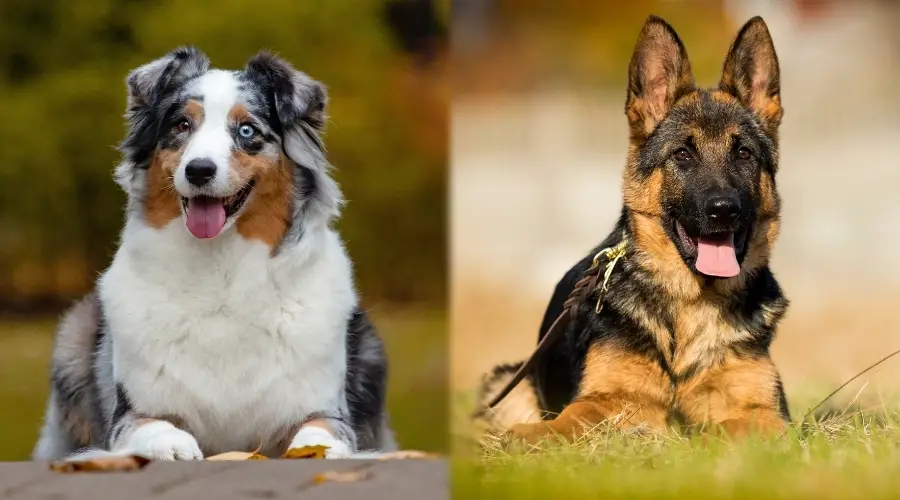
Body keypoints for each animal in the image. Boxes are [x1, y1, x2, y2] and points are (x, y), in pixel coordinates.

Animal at [478, 15, 788, 444]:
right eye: (682, 154)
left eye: (743, 153)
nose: (723, 210)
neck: (692, 305)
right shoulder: (604, 396)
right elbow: (572, 418)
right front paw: (534, 435)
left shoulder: (768, 412)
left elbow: (733, 425)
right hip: (503, 385)